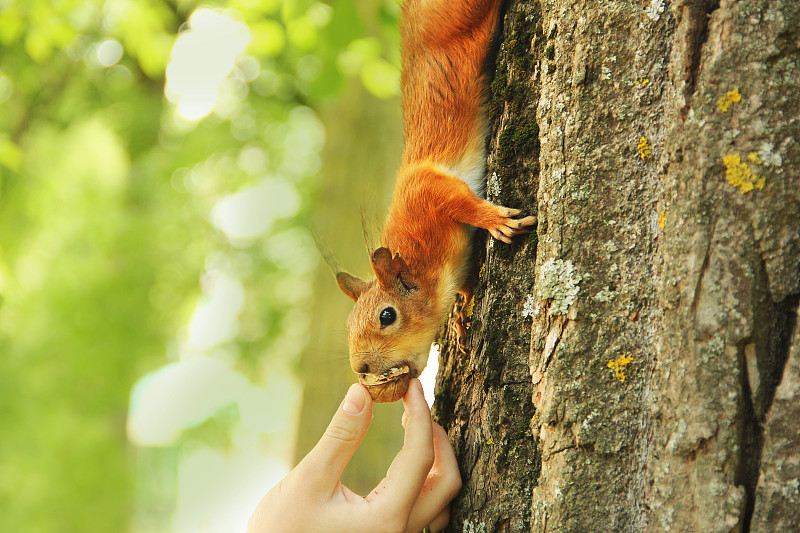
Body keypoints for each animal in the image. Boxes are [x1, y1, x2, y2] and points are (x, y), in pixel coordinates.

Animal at [334, 0, 536, 400]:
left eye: (387, 316)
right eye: (348, 325)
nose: (360, 368)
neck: (428, 264)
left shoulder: (424, 190)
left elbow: (460, 201)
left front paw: (495, 220)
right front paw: (460, 315)